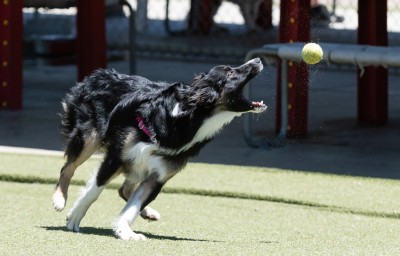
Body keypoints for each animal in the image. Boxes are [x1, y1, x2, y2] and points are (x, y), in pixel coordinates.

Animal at [51, 57, 268, 240]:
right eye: (230, 73)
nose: (258, 59)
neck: (189, 119)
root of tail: (97, 74)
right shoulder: (117, 157)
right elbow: (94, 190)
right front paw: (75, 217)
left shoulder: (160, 174)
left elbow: (135, 205)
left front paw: (125, 231)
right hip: (88, 138)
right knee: (67, 168)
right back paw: (59, 199)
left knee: (125, 189)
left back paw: (148, 212)